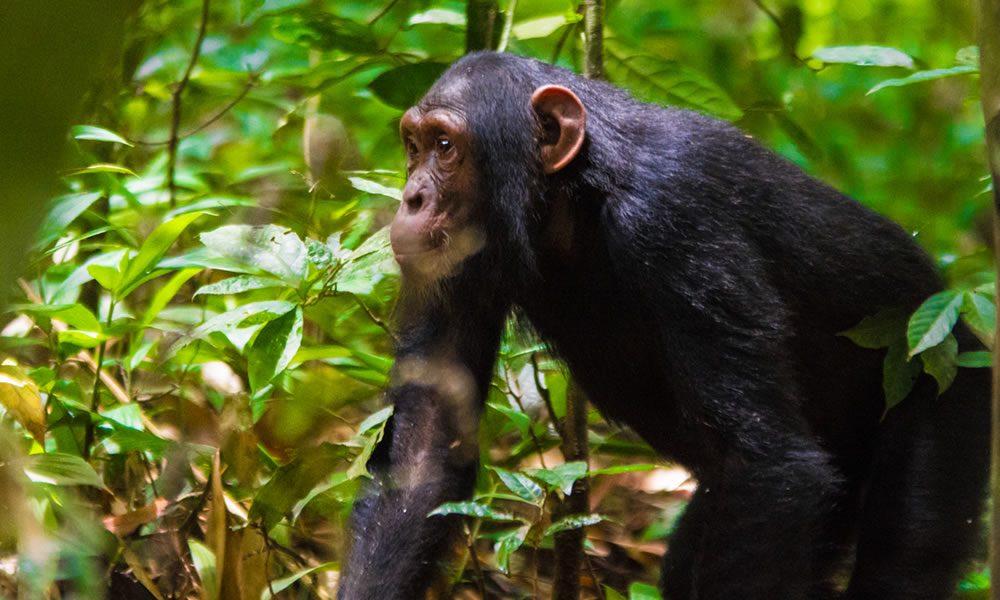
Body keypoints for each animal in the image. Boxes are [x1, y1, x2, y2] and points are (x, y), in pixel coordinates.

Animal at [338, 51, 992, 600]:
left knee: (905, 553)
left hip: (950, 386)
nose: (412, 197)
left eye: (446, 146)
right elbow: (426, 445)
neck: (573, 196)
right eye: (413, 145)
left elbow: (764, 461)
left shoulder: (675, 217)